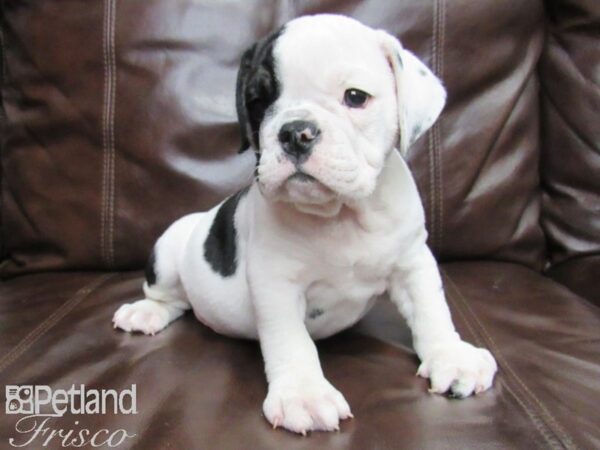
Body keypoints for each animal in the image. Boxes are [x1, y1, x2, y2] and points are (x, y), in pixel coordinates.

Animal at [112, 14, 496, 436]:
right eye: (257, 102)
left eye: (356, 97)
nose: (296, 132)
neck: (340, 214)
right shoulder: (277, 285)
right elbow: (291, 340)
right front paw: (305, 394)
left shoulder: (413, 261)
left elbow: (432, 309)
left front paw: (452, 357)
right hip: (168, 249)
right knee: (166, 295)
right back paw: (145, 312)